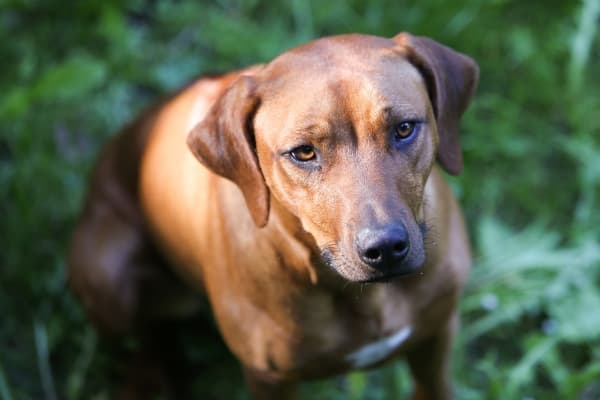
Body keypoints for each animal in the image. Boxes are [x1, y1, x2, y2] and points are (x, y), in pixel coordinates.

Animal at [69, 32, 478, 398]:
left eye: (404, 128)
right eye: (304, 152)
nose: (385, 248)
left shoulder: (437, 334)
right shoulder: (268, 378)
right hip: (108, 281)